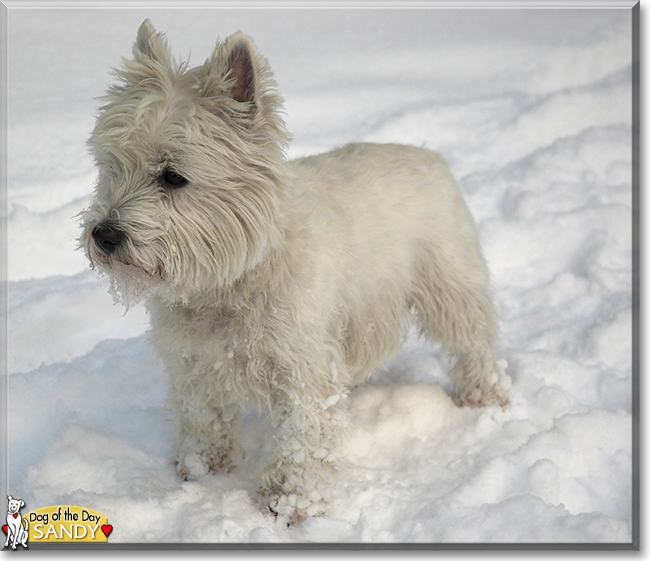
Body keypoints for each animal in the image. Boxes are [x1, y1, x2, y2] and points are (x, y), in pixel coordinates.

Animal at [79, 20, 506, 520]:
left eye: (173, 176)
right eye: (111, 166)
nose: (104, 235)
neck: (229, 282)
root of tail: (430, 156)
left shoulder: (302, 363)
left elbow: (304, 436)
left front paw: (291, 501)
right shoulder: (195, 361)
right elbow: (204, 414)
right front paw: (202, 467)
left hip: (449, 283)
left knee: (474, 341)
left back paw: (484, 397)